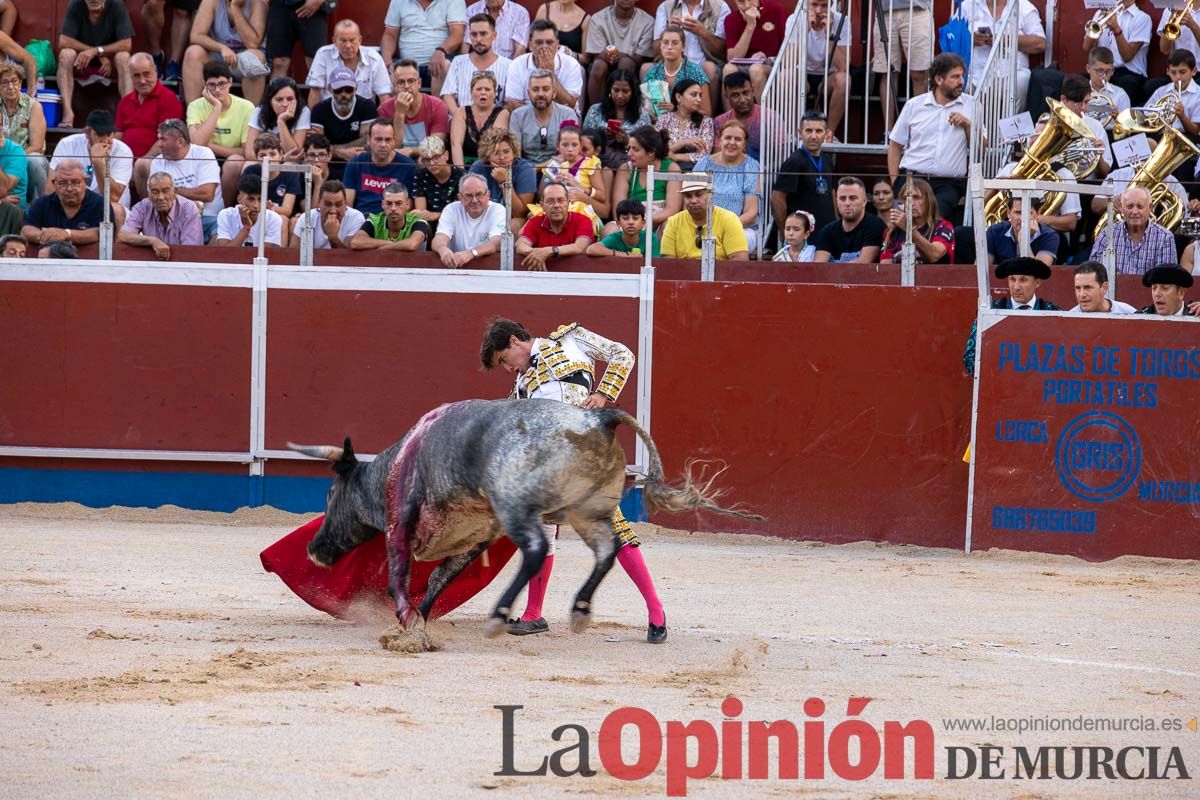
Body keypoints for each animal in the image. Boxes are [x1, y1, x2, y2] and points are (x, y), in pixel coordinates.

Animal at [290, 398, 758, 638]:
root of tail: (598, 416)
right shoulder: (474, 538)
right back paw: (581, 609)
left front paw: (406, 618)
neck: (396, 463)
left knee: (536, 550)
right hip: (587, 511)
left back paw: (502, 615)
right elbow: (439, 578)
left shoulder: (400, 522)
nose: (313, 551)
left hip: (518, 505)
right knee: (608, 550)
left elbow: (398, 574)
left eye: (330, 493)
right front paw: (418, 621)